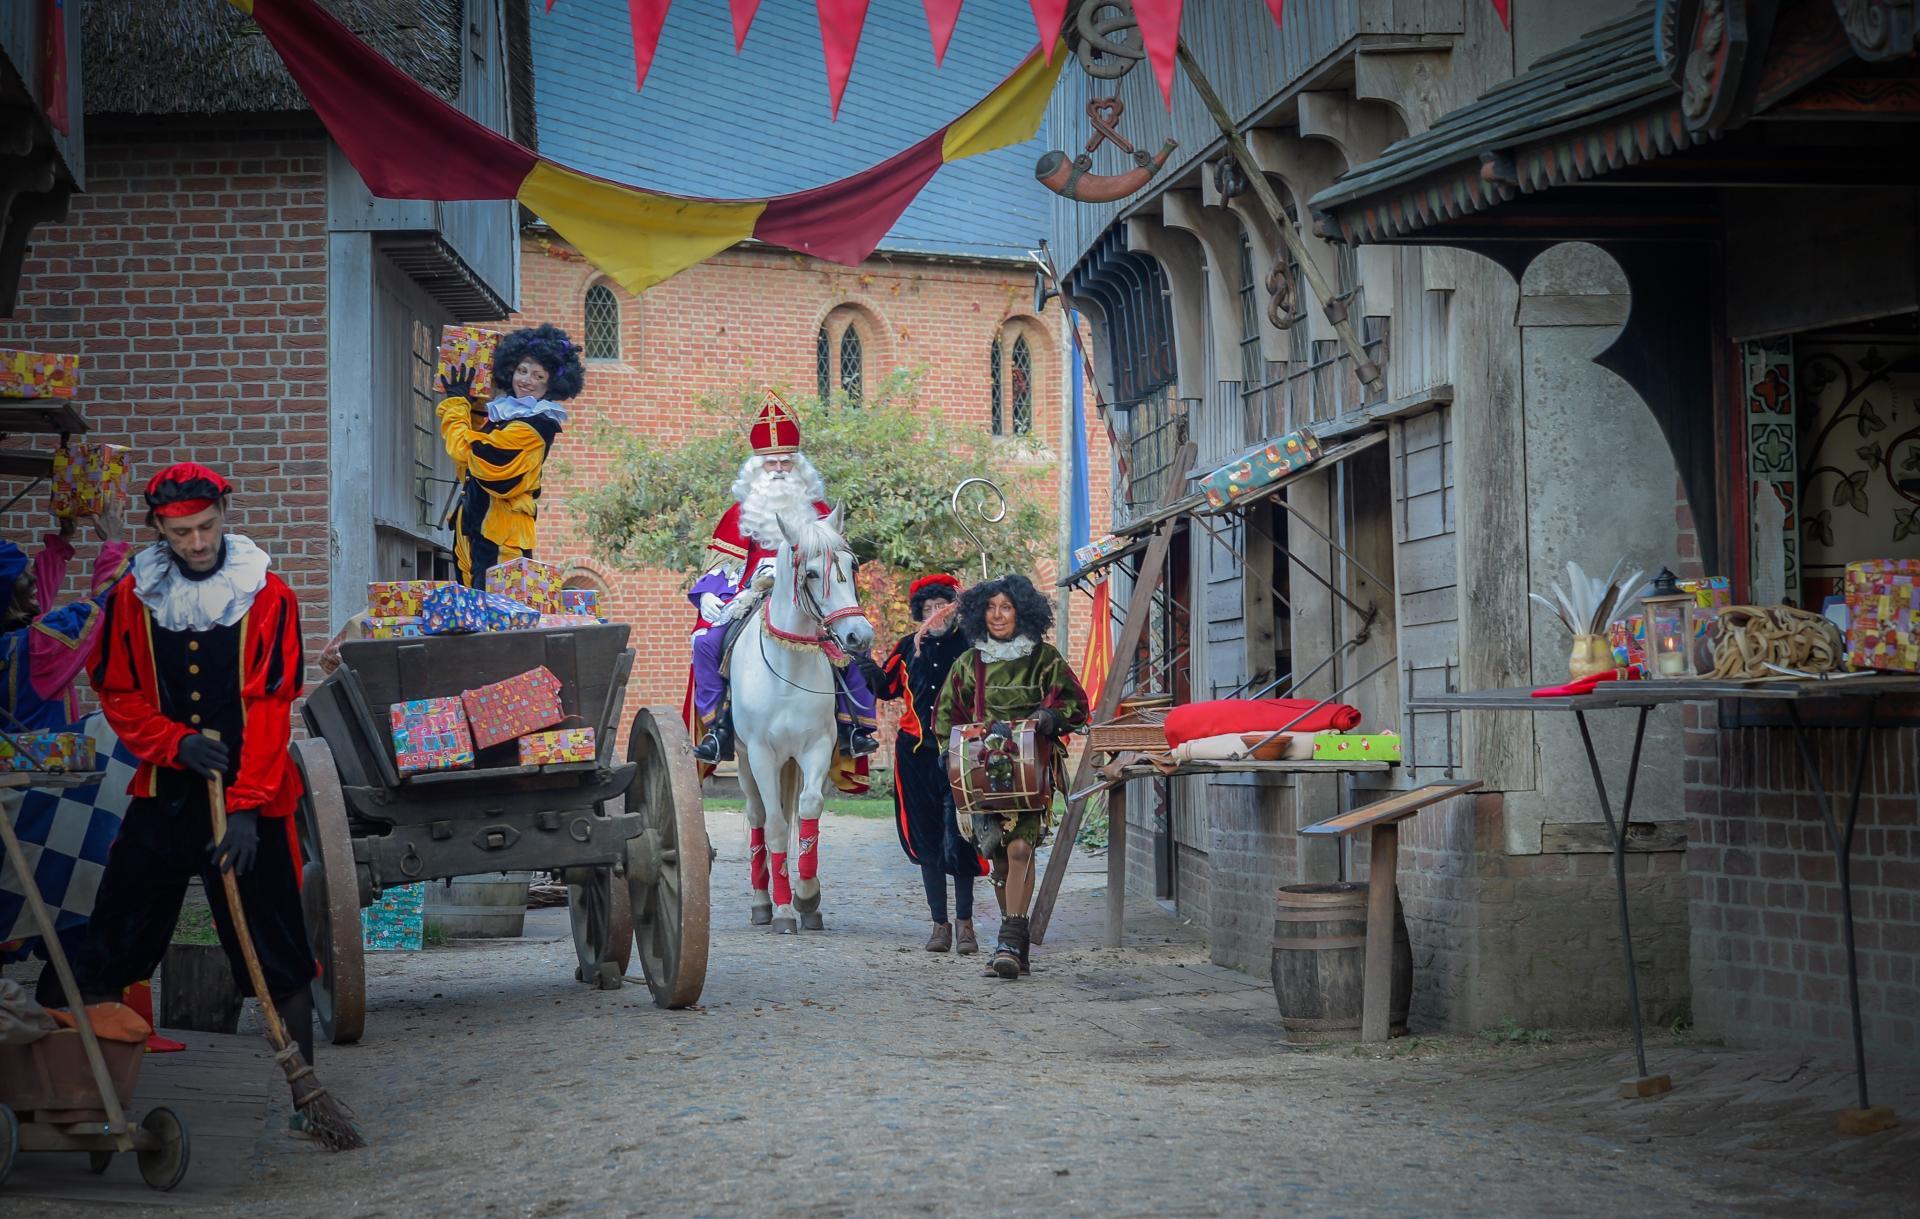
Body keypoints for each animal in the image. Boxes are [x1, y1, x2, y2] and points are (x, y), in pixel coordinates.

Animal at [721, 506, 875, 932]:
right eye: (811, 573)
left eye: (852, 566)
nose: (859, 636)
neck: (787, 667)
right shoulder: (761, 755)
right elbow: (774, 826)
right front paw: (784, 910)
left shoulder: (816, 748)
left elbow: (808, 809)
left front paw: (807, 897)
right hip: (744, 761)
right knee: (758, 817)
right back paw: (763, 902)